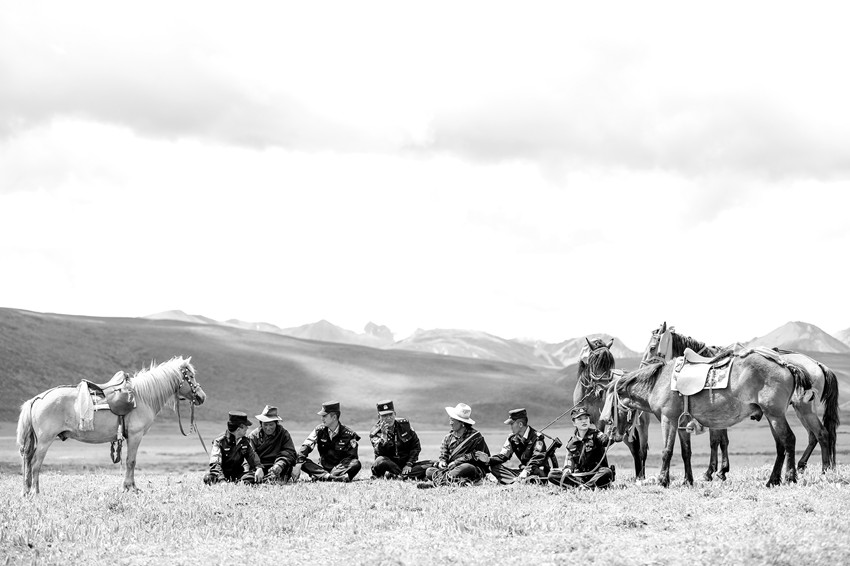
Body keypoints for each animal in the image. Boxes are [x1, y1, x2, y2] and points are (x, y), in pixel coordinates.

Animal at [16, 356, 205, 495]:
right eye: (191, 377)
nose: (202, 397)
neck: (142, 397)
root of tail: (37, 399)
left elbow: (130, 461)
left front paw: (131, 486)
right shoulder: (135, 435)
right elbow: (131, 461)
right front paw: (129, 487)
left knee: (28, 461)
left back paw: (26, 491)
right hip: (45, 440)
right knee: (35, 464)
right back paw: (35, 492)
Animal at [574, 337, 650, 480]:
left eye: (609, 365)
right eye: (593, 362)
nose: (601, 391)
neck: (589, 395)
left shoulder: (600, 422)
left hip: (641, 426)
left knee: (642, 451)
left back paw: (641, 478)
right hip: (625, 431)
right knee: (634, 450)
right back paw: (638, 476)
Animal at [612, 346, 811, 487]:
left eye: (612, 406)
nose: (614, 434)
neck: (658, 383)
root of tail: (787, 366)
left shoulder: (669, 420)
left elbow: (667, 451)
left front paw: (663, 480)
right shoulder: (682, 423)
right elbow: (686, 452)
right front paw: (688, 480)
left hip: (775, 415)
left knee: (789, 440)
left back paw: (790, 477)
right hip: (772, 416)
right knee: (780, 446)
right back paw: (773, 480)